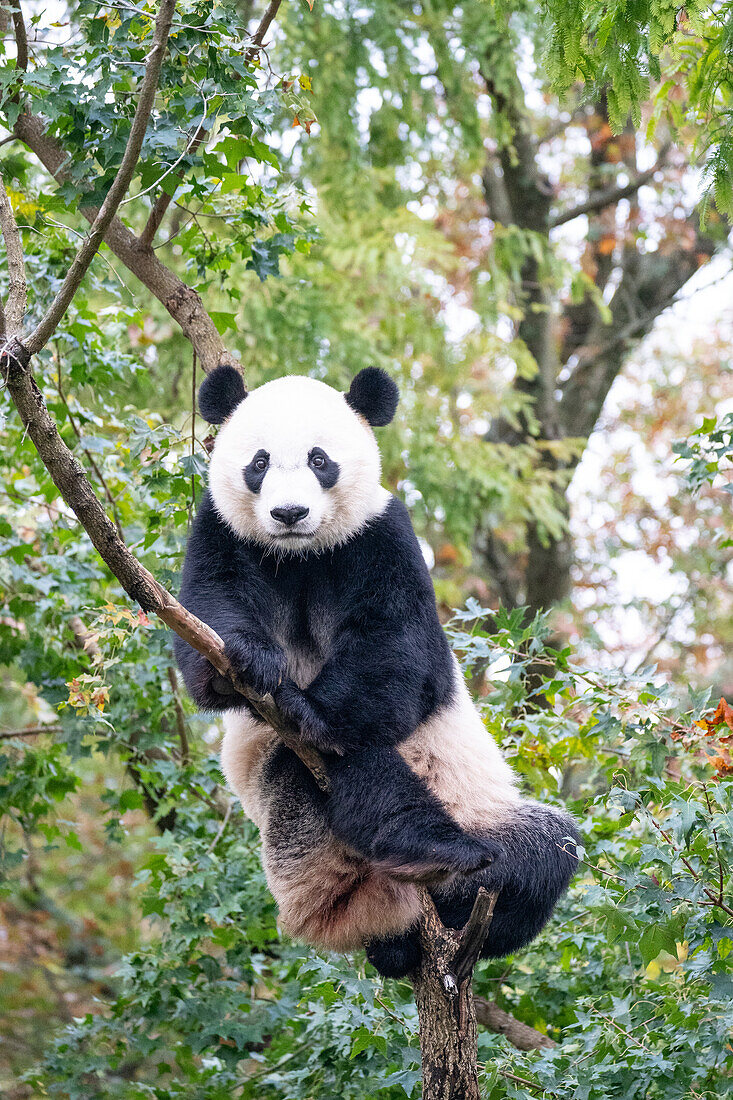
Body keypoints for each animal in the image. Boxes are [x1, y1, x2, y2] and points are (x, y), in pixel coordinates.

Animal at [172, 367, 576, 981]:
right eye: (259, 463)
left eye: (320, 460)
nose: (289, 515)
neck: (301, 557)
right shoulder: (223, 533)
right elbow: (209, 614)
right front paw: (251, 661)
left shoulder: (380, 536)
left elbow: (400, 649)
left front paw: (312, 708)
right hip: (286, 829)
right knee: (322, 770)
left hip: (482, 812)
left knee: (546, 853)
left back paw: (445, 880)